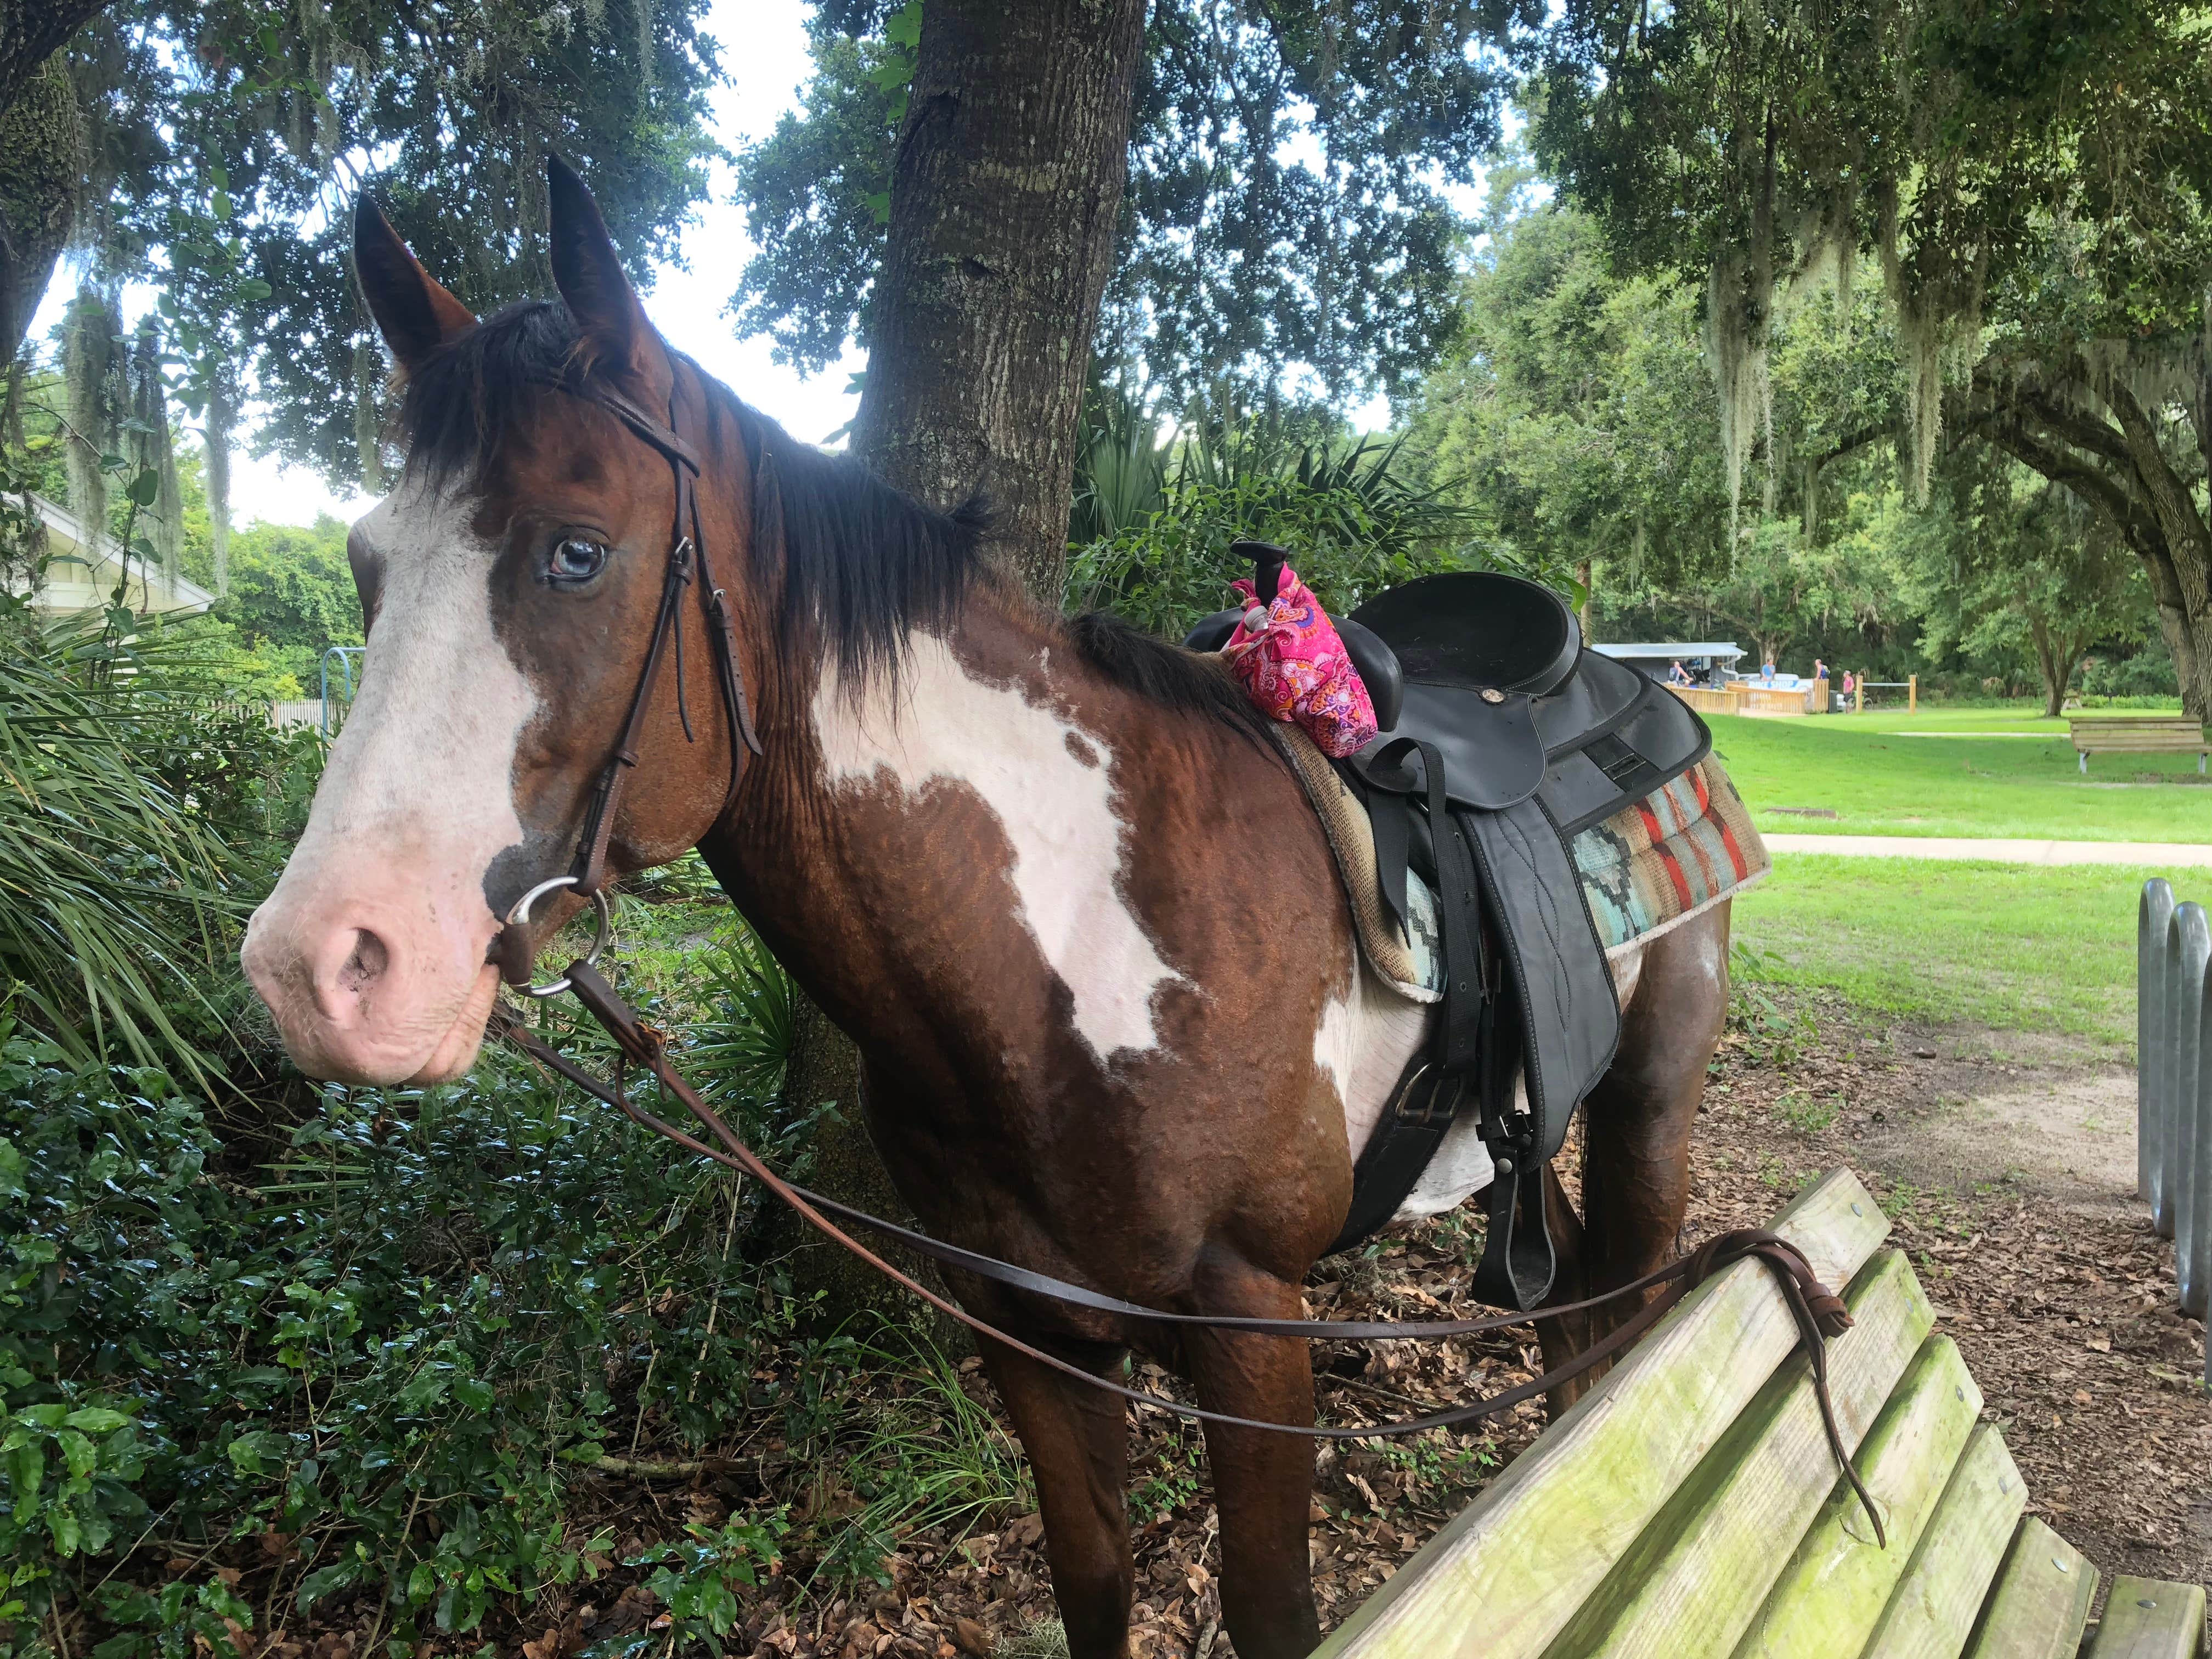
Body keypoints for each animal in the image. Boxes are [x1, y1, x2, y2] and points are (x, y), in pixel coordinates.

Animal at [242, 159, 1725, 1659]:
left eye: (578, 554)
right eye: (367, 564)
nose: (319, 967)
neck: (1074, 949)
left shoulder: (1258, 1327)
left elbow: (1270, 1609)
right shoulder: (1032, 1334)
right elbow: (1093, 1583)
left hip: (1649, 1105)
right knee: (1569, 1328)